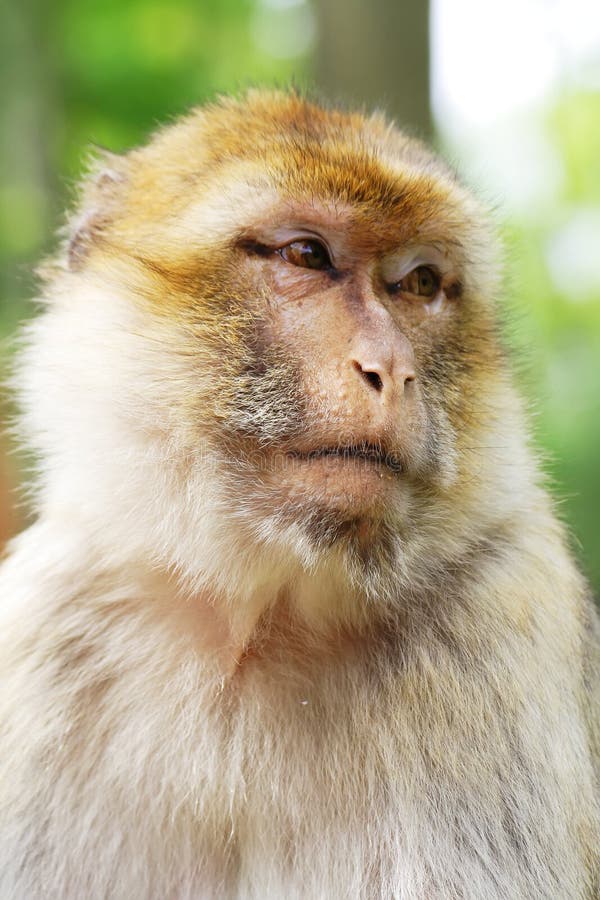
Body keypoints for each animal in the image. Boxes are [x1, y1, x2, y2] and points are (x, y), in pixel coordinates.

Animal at [0, 89, 596, 900]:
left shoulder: (499, 628)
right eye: (306, 256)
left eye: (419, 283)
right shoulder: (47, 626)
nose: (390, 368)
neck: (255, 619)